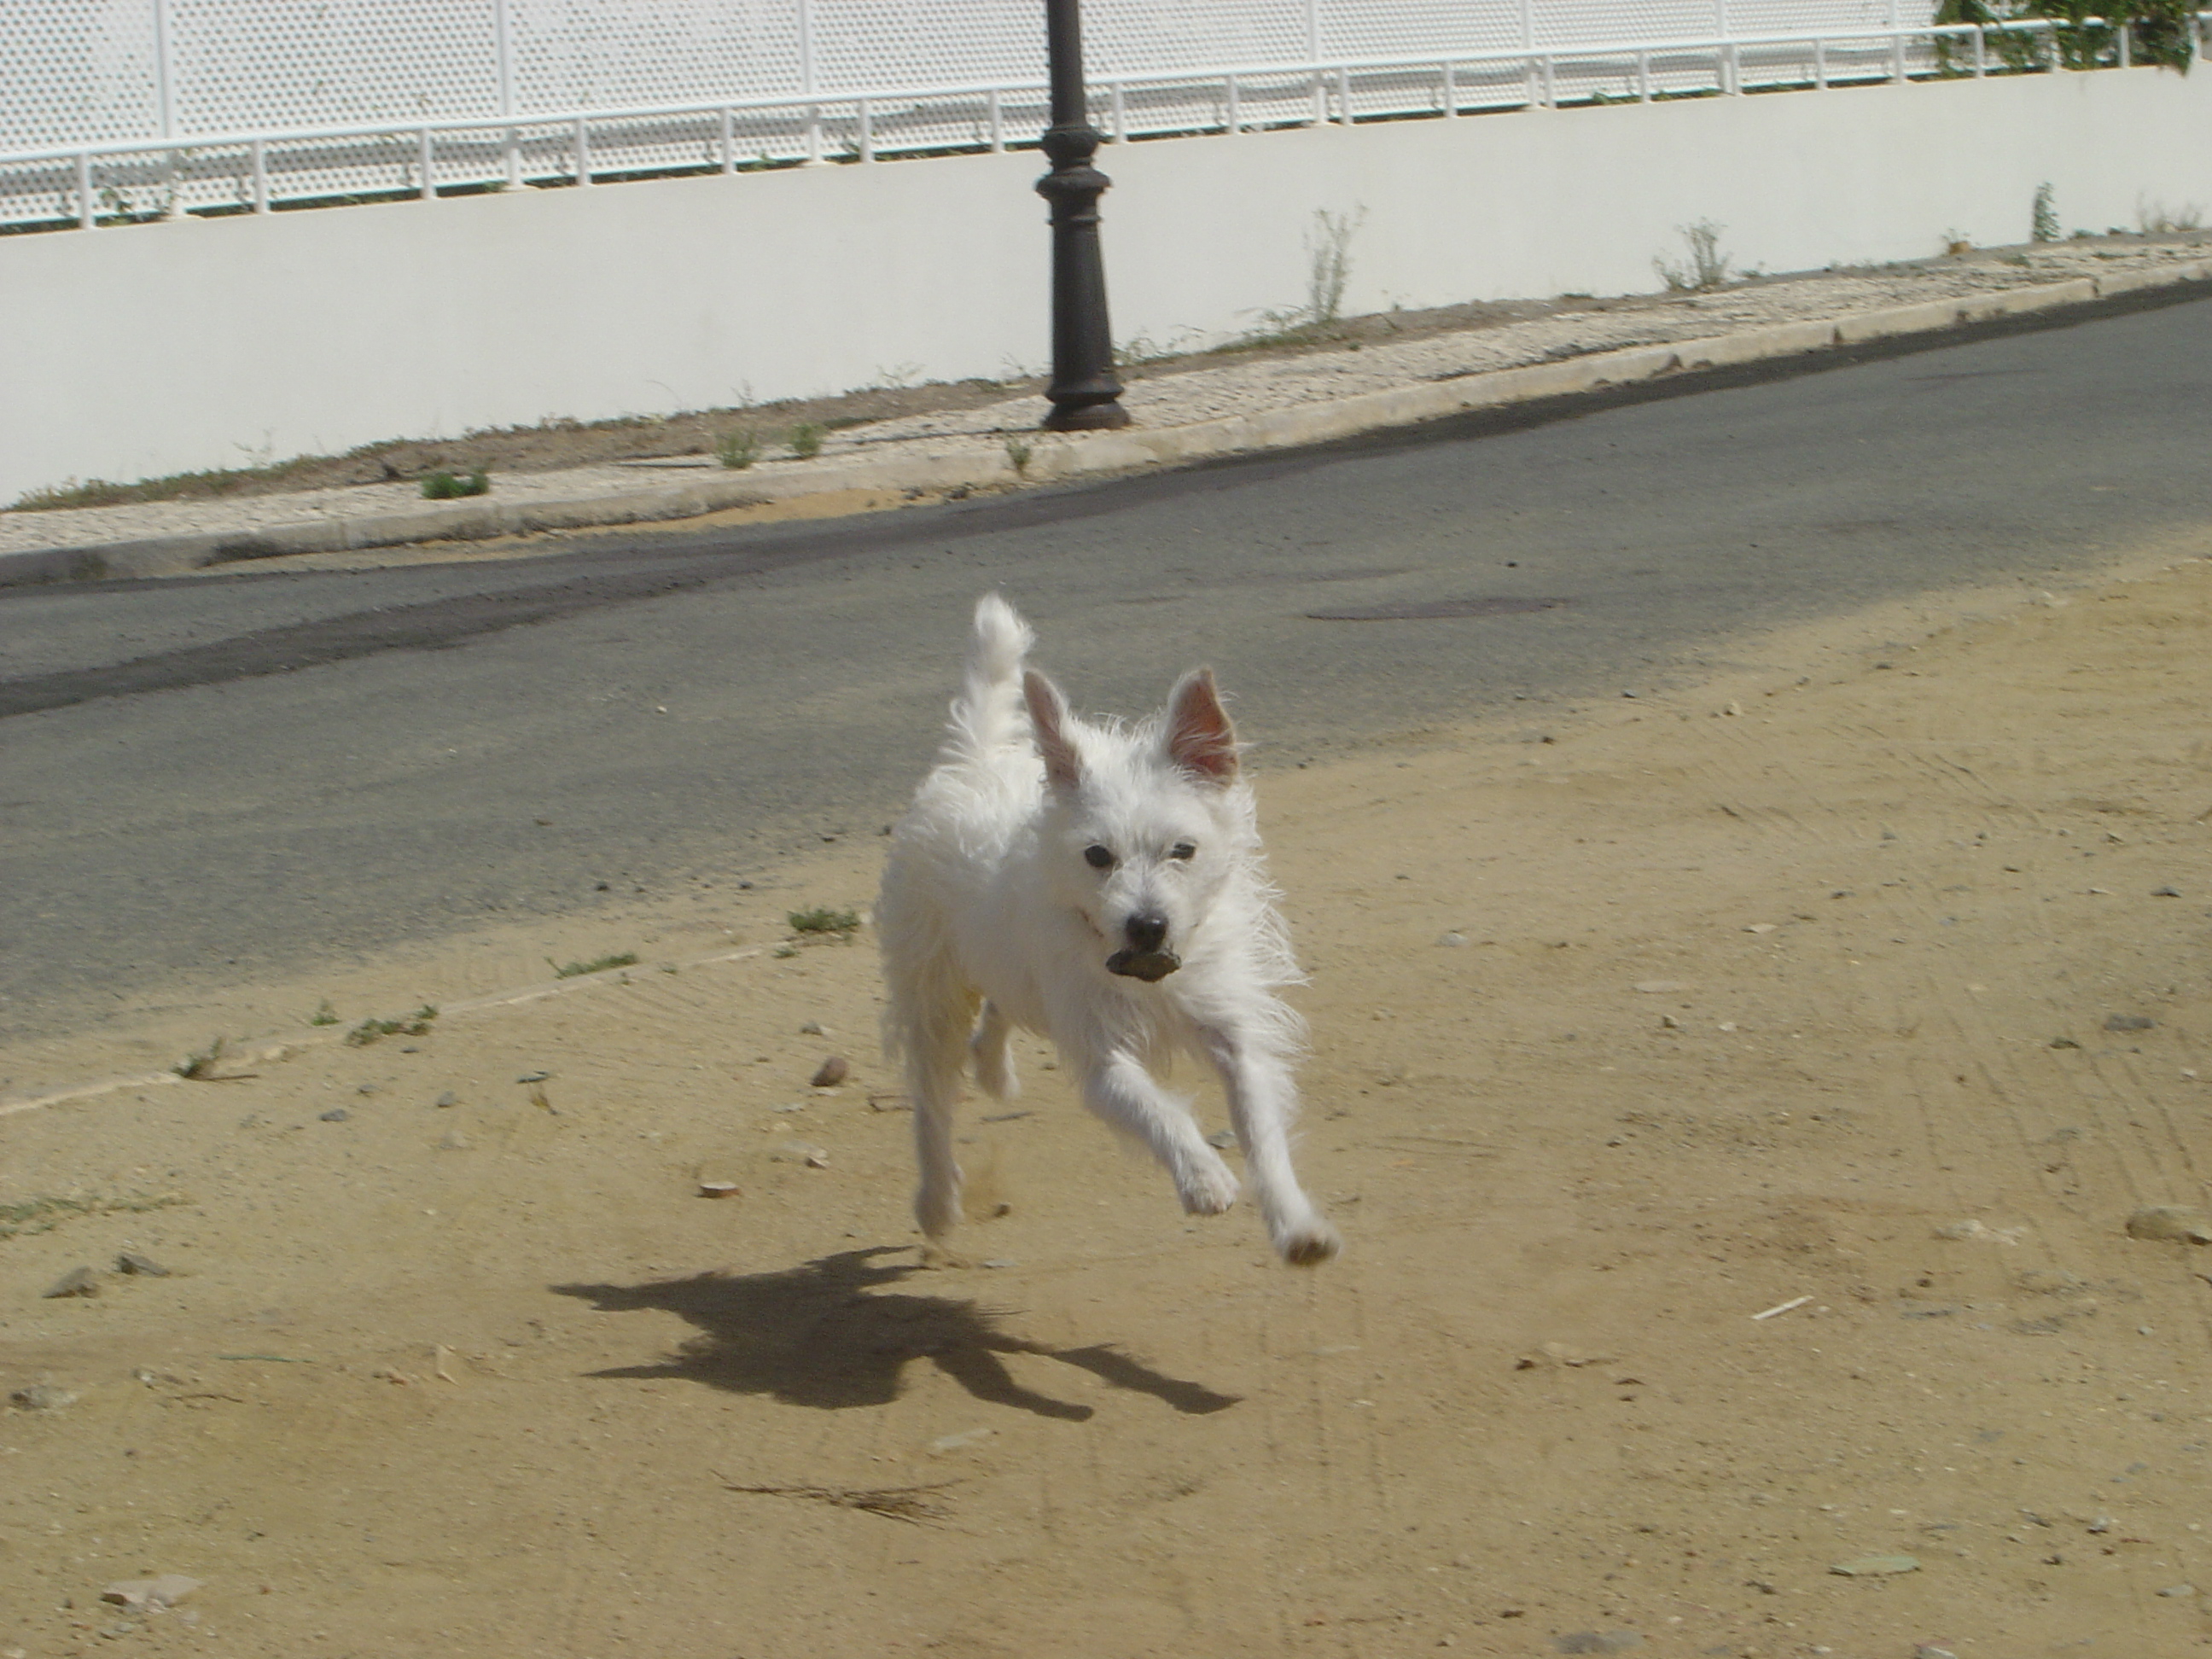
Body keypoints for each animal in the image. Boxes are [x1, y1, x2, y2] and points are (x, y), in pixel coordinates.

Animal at [871, 606, 1336, 1265]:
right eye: (1097, 856)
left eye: (1183, 851)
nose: (1147, 924)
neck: (1148, 971)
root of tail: (974, 758)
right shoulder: (1102, 1060)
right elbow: (1157, 1111)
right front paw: (1203, 1177)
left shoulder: (1234, 1037)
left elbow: (1262, 1132)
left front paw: (1296, 1226)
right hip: (932, 993)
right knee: (932, 1103)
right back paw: (936, 1201)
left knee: (1005, 1000)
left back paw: (991, 1067)